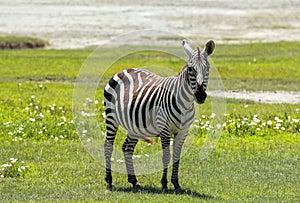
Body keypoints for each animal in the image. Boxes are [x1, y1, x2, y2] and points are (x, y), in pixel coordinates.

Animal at [104, 39, 214, 192]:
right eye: (191, 69)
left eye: (207, 68)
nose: (200, 95)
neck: (184, 104)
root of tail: (124, 70)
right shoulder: (165, 129)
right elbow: (166, 157)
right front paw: (164, 184)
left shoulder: (183, 131)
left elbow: (176, 157)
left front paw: (176, 184)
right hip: (111, 118)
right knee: (108, 146)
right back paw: (109, 181)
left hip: (134, 125)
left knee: (127, 148)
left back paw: (134, 181)